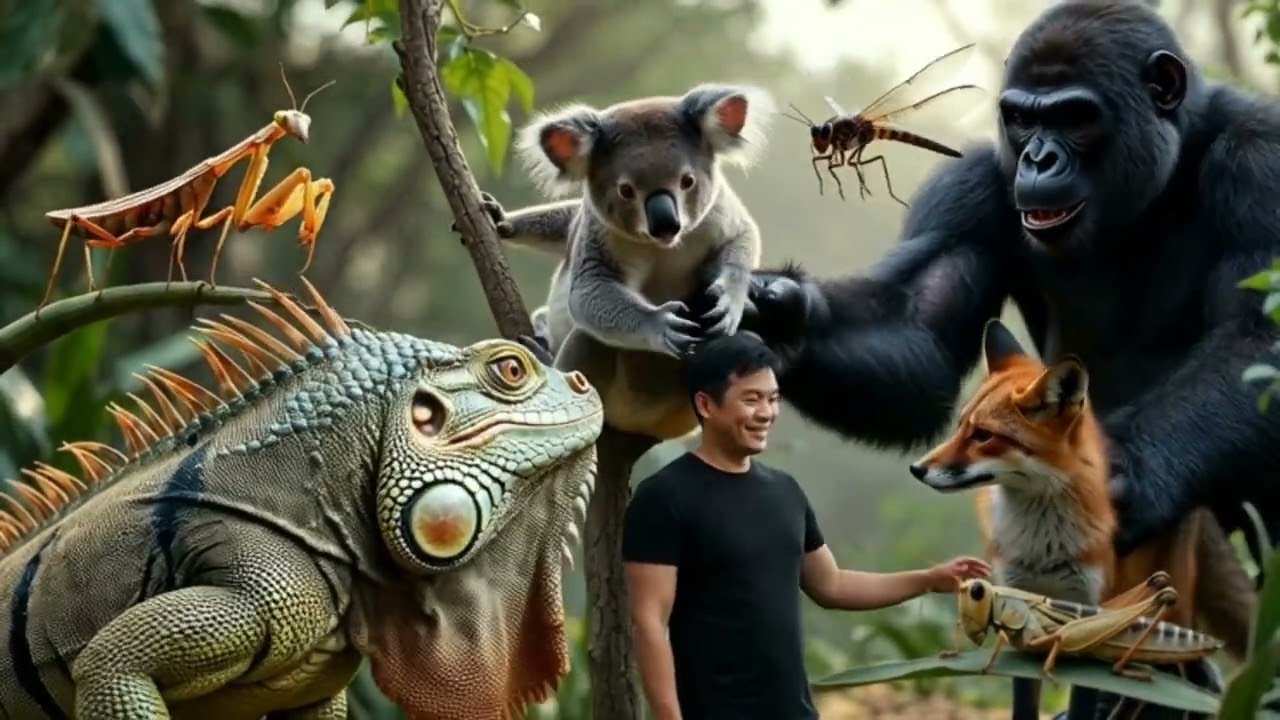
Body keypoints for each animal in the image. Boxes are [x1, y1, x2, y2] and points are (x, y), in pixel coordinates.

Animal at [463, 83, 774, 441]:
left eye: (687, 181)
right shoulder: (597, 234)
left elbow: (743, 239)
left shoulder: (719, 216)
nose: (666, 224)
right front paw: (500, 219)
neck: (663, 247)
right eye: (626, 190)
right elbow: (588, 288)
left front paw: (727, 304)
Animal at [908, 318, 1254, 714]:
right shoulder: (1015, 594)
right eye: (961, 425)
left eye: (983, 435)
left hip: (1164, 605)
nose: (917, 469)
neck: (1043, 545)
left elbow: (1082, 699)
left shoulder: (1087, 607)